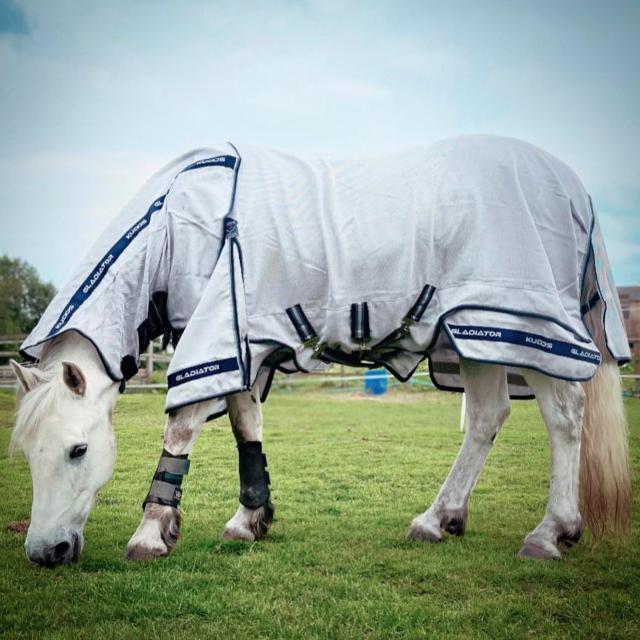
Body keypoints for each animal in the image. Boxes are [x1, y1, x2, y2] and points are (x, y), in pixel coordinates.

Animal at [10, 134, 632, 566]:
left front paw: (150, 532)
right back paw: (438, 519)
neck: (179, 222)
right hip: (474, 335)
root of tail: (569, 183)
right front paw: (249, 518)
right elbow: (245, 424)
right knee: (486, 417)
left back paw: (550, 533)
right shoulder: (246, 342)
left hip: (521, 326)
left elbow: (182, 427)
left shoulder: (215, 337)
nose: (45, 553)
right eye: (28, 455)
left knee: (564, 417)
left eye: (77, 450)